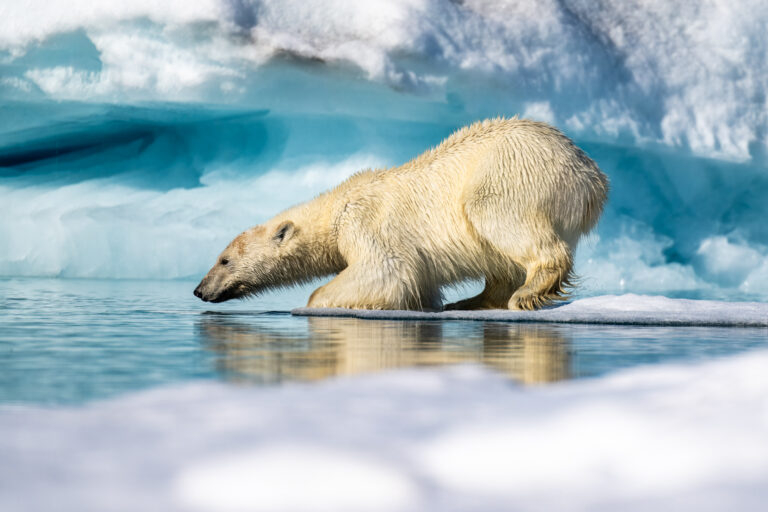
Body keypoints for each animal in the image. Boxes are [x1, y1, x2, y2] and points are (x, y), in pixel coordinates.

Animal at [195, 118, 608, 310]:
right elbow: (418, 284)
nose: (199, 289)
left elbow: (385, 270)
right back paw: (473, 300)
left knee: (500, 220)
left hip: (510, 175)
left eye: (224, 259)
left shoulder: (364, 222)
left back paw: (527, 292)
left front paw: (317, 302)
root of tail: (593, 179)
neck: (337, 207)